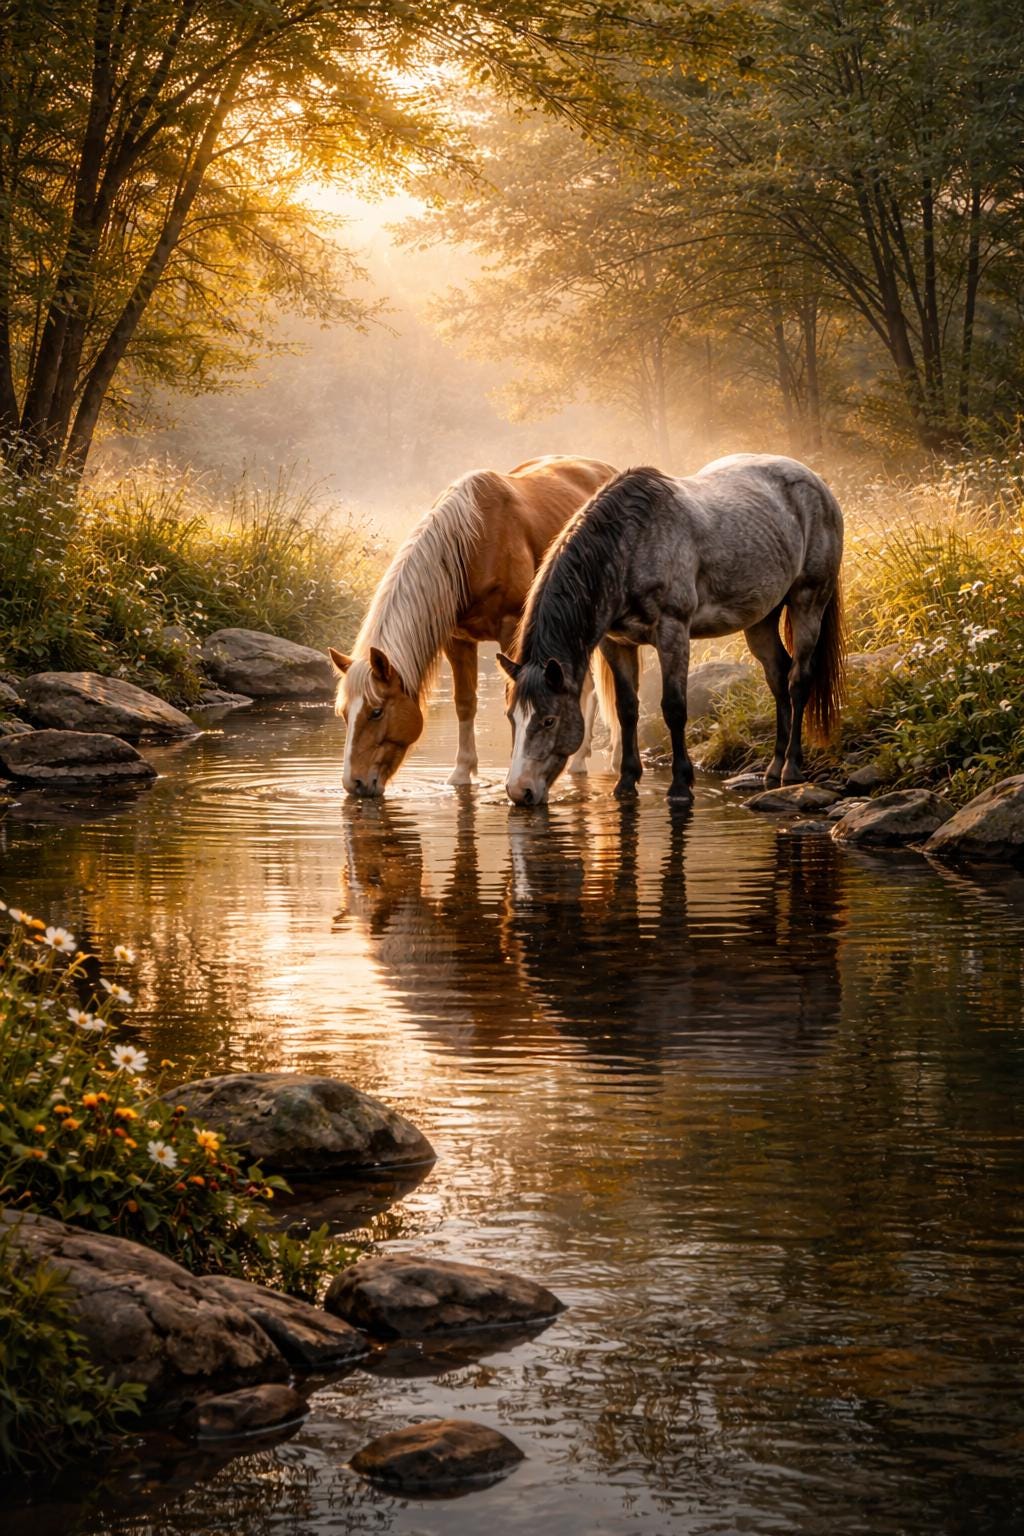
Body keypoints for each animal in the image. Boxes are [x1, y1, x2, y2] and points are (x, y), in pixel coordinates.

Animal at [329, 454, 615, 796]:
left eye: (376, 712)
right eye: (344, 713)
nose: (354, 783)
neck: (473, 545)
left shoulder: (511, 631)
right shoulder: (457, 639)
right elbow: (464, 703)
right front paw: (462, 772)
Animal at [497, 453, 845, 806]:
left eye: (548, 720)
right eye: (512, 717)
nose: (519, 791)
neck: (630, 546)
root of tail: (817, 482)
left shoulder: (672, 632)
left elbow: (674, 707)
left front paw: (680, 786)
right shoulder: (616, 643)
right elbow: (627, 709)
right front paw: (626, 782)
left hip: (808, 602)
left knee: (797, 680)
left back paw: (791, 768)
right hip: (761, 619)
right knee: (777, 676)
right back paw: (773, 769)